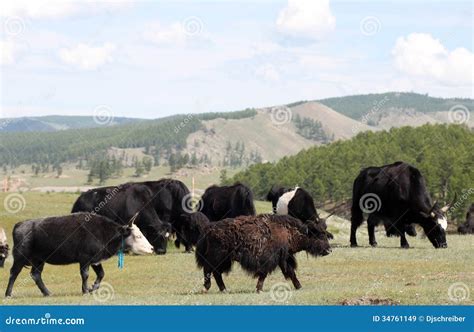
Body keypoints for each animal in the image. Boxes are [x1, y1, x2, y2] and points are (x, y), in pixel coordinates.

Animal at [5, 214, 154, 296]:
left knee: (36, 275)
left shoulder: (95, 260)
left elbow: (101, 274)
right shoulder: (85, 259)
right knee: (13, 273)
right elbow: (85, 275)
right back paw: (8, 294)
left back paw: (47, 293)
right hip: (20, 258)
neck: (105, 233)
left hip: (39, 260)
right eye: (138, 236)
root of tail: (19, 225)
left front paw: (92, 287)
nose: (152, 248)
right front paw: (86, 290)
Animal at [194, 214, 332, 292]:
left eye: (325, 233)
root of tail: (209, 228)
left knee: (215, 272)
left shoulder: (283, 258)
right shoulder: (270, 260)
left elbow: (291, 272)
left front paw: (299, 286)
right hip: (218, 257)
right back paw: (208, 287)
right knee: (209, 270)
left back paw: (223, 289)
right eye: (318, 234)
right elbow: (264, 274)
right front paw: (259, 289)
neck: (288, 232)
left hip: (224, 260)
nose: (329, 250)